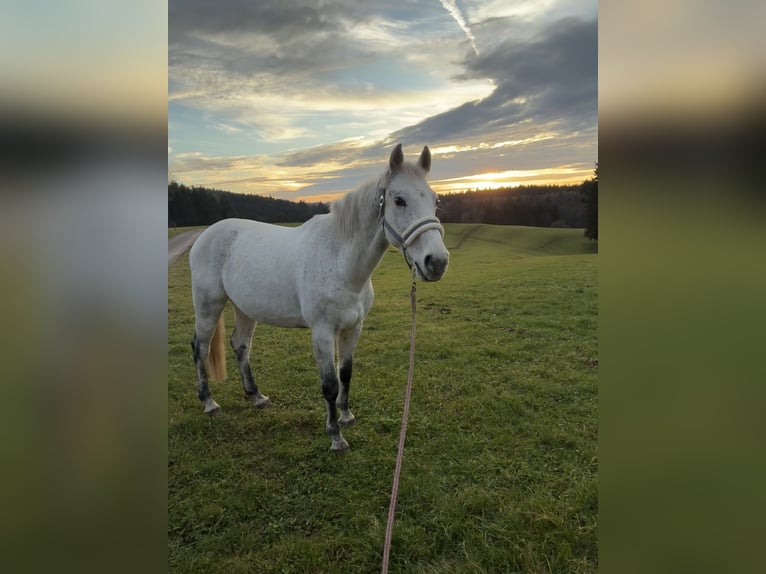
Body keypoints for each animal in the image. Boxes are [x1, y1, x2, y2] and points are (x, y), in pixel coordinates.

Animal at [188, 143, 449, 451]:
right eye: (399, 201)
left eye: (435, 201)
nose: (437, 262)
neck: (340, 260)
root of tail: (205, 235)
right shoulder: (322, 332)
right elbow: (329, 384)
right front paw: (336, 436)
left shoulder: (353, 327)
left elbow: (346, 373)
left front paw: (346, 416)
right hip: (208, 306)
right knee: (200, 347)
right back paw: (209, 403)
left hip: (245, 309)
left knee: (240, 346)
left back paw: (257, 397)